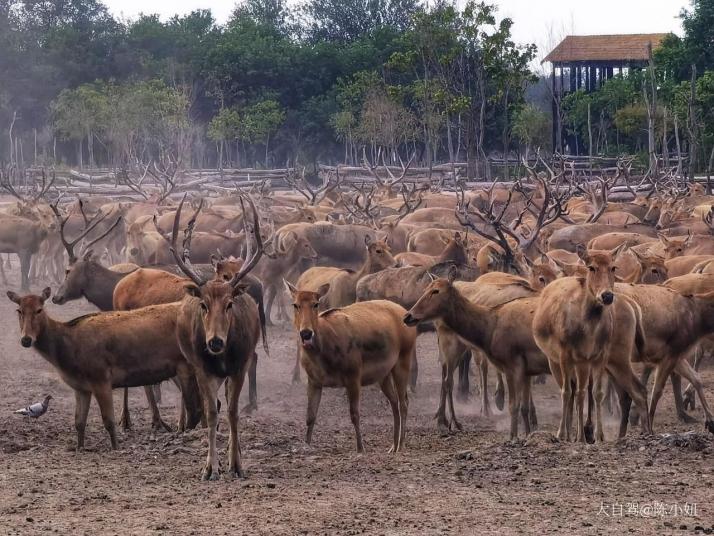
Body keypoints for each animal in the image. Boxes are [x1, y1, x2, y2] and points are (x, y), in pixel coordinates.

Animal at [286, 280, 414, 452]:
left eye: (316, 304)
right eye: (295, 304)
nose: (306, 333)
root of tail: (405, 313)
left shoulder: (353, 374)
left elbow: (354, 414)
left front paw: (360, 448)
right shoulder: (314, 380)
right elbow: (310, 415)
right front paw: (306, 445)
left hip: (404, 358)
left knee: (403, 402)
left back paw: (400, 445)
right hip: (383, 373)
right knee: (393, 401)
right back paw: (392, 446)